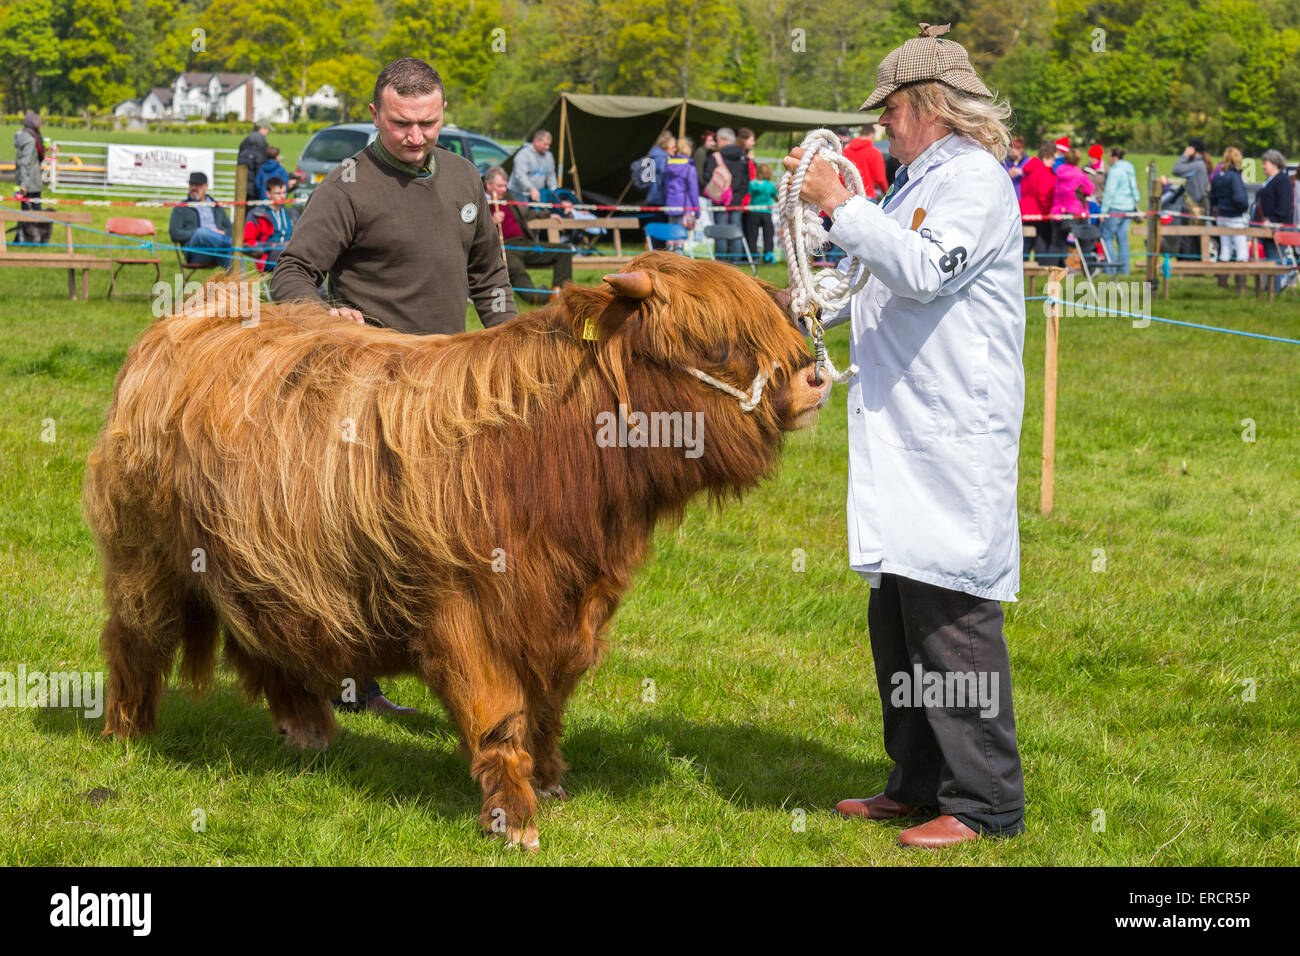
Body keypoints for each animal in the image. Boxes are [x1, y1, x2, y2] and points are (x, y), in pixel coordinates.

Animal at [86, 251, 826, 848]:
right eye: (716, 343)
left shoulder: (572, 607)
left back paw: (307, 731)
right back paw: (125, 735)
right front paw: (515, 820)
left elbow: (549, 702)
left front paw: (550, 781)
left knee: (267, 643)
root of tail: (193, 317)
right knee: (134, 634)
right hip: (147, 556)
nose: (812, 379)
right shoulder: (466, 608)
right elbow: (498, 712)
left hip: (261, 562)